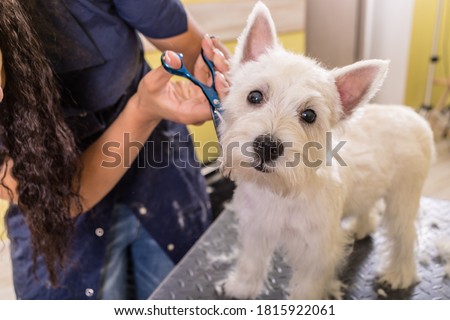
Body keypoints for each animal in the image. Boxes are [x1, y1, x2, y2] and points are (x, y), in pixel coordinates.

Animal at [220, 1, 434, 300]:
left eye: (309, 115)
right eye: (254, 96)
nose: (267, 146)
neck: (280, 191)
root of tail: (415, 117)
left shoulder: (317, 253)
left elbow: (307, 287)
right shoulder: (256, 228)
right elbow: (251, 262)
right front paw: (240, 288)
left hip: (403, 198)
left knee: (404, 235)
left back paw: (399, 274)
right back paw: (360, 228)